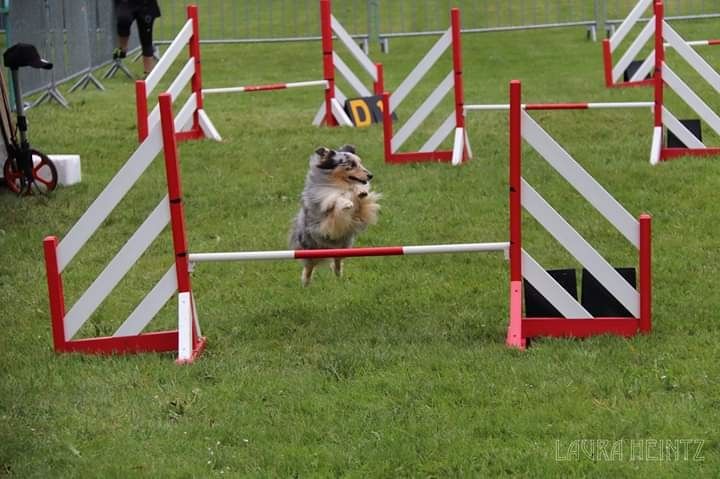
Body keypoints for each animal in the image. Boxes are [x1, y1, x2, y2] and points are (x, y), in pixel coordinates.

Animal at [290, 144, 382, 286]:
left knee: (337, 261)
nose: (370, 175)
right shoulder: (325, 207)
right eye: (351, 165)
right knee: (309, 267)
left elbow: (360, 198)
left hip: (342, 247)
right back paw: (305, 283)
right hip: (310, 249)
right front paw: (346, 202)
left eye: (360, 163)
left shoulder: (359, 211)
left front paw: (360, 191)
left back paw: (338, 275)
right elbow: (335, 198)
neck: (340, 184)